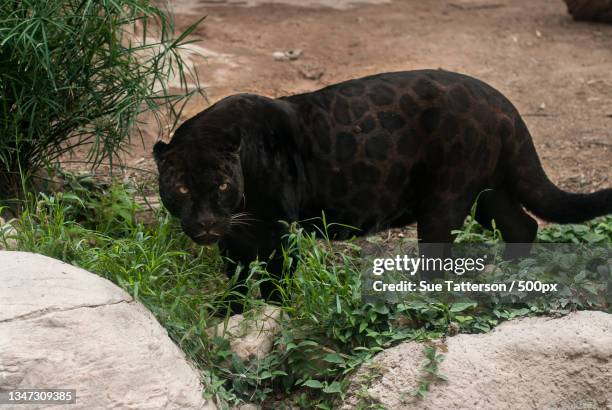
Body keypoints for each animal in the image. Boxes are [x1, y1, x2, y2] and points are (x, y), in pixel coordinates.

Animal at [153, 69, 612, 310]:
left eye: (221, 184)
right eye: (181, 188)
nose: (205, 222)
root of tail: (501, 101)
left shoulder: (278, 230)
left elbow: (274, 274)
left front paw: (271, 311)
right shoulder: (235, 236)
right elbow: (235, 273)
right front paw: (227, 311)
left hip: (446, 199)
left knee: (441, 253)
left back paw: (416, 296)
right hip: (488, 192)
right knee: (522, 225)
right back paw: (514, 277)